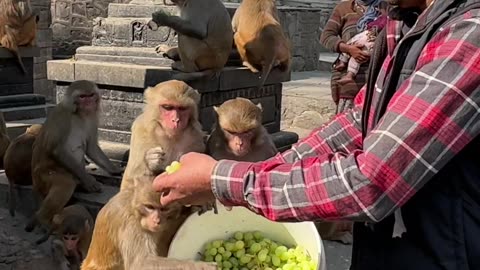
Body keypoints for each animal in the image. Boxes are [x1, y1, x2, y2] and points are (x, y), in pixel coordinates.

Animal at [25, 79, 124, 232]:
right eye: (82, 97)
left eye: (90, 95)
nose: (89, 102)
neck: (79, 114)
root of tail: (35, 184)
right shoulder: (61, 116)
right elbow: (57, 149)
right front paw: (89, 181)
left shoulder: (92, 117)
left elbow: (91, 148)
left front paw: (114, 169)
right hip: (44, 176)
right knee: (65, 183)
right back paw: (43, 219)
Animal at [81, 175, 218, 270]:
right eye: (149, 207)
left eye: (164, 209)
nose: (156, 220)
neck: (135, 208)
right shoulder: (129, 223)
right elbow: (141, 264)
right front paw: (200, 266)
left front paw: (195, 206)